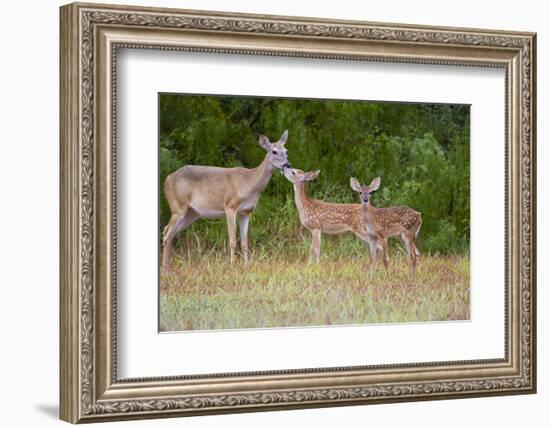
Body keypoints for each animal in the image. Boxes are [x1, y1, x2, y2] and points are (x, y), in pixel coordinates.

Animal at [163, 132, 292, 270]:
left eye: (286, 151)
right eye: (274, 151)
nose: (287, 165)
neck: (249, 183)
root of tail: (167, 179)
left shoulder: (246, 212)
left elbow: (245, 242)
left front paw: (247, 266)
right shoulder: (230, 206)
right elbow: (232, 240)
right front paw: (232, 266)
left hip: (192, 213)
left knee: (169, 232)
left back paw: (167, 268)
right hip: (178, 206)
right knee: (167, 233)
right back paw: (166, 269)